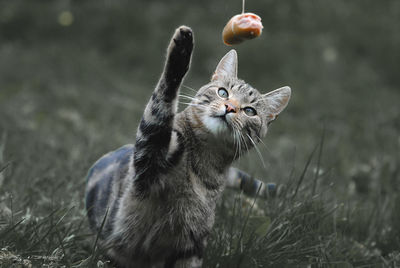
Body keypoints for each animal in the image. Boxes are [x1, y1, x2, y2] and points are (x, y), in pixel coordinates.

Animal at [85, 25, 290, 268]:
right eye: (223, 92)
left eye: (250, 111)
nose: (230, 107)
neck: (203, 164)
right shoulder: (150, 154)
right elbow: (162, 101)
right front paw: (181, 49)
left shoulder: (190, 245)